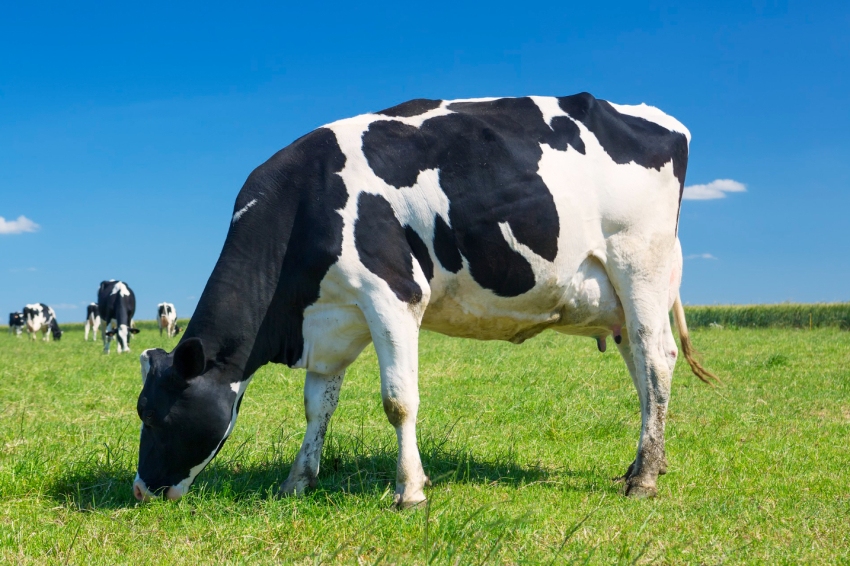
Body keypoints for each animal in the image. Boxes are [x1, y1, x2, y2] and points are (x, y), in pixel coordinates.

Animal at [132, 95, 716, 508]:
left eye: (154, 415)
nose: (139, 490)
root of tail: (658, 118)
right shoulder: (331, 319)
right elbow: (317, 406)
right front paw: (297, 481)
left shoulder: (392, 296)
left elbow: (398, 400)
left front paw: (409, 491)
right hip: (619, 299)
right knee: (641, 369)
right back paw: (647, 462)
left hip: (639, 265)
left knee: (657, 360)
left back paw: (643, 479)